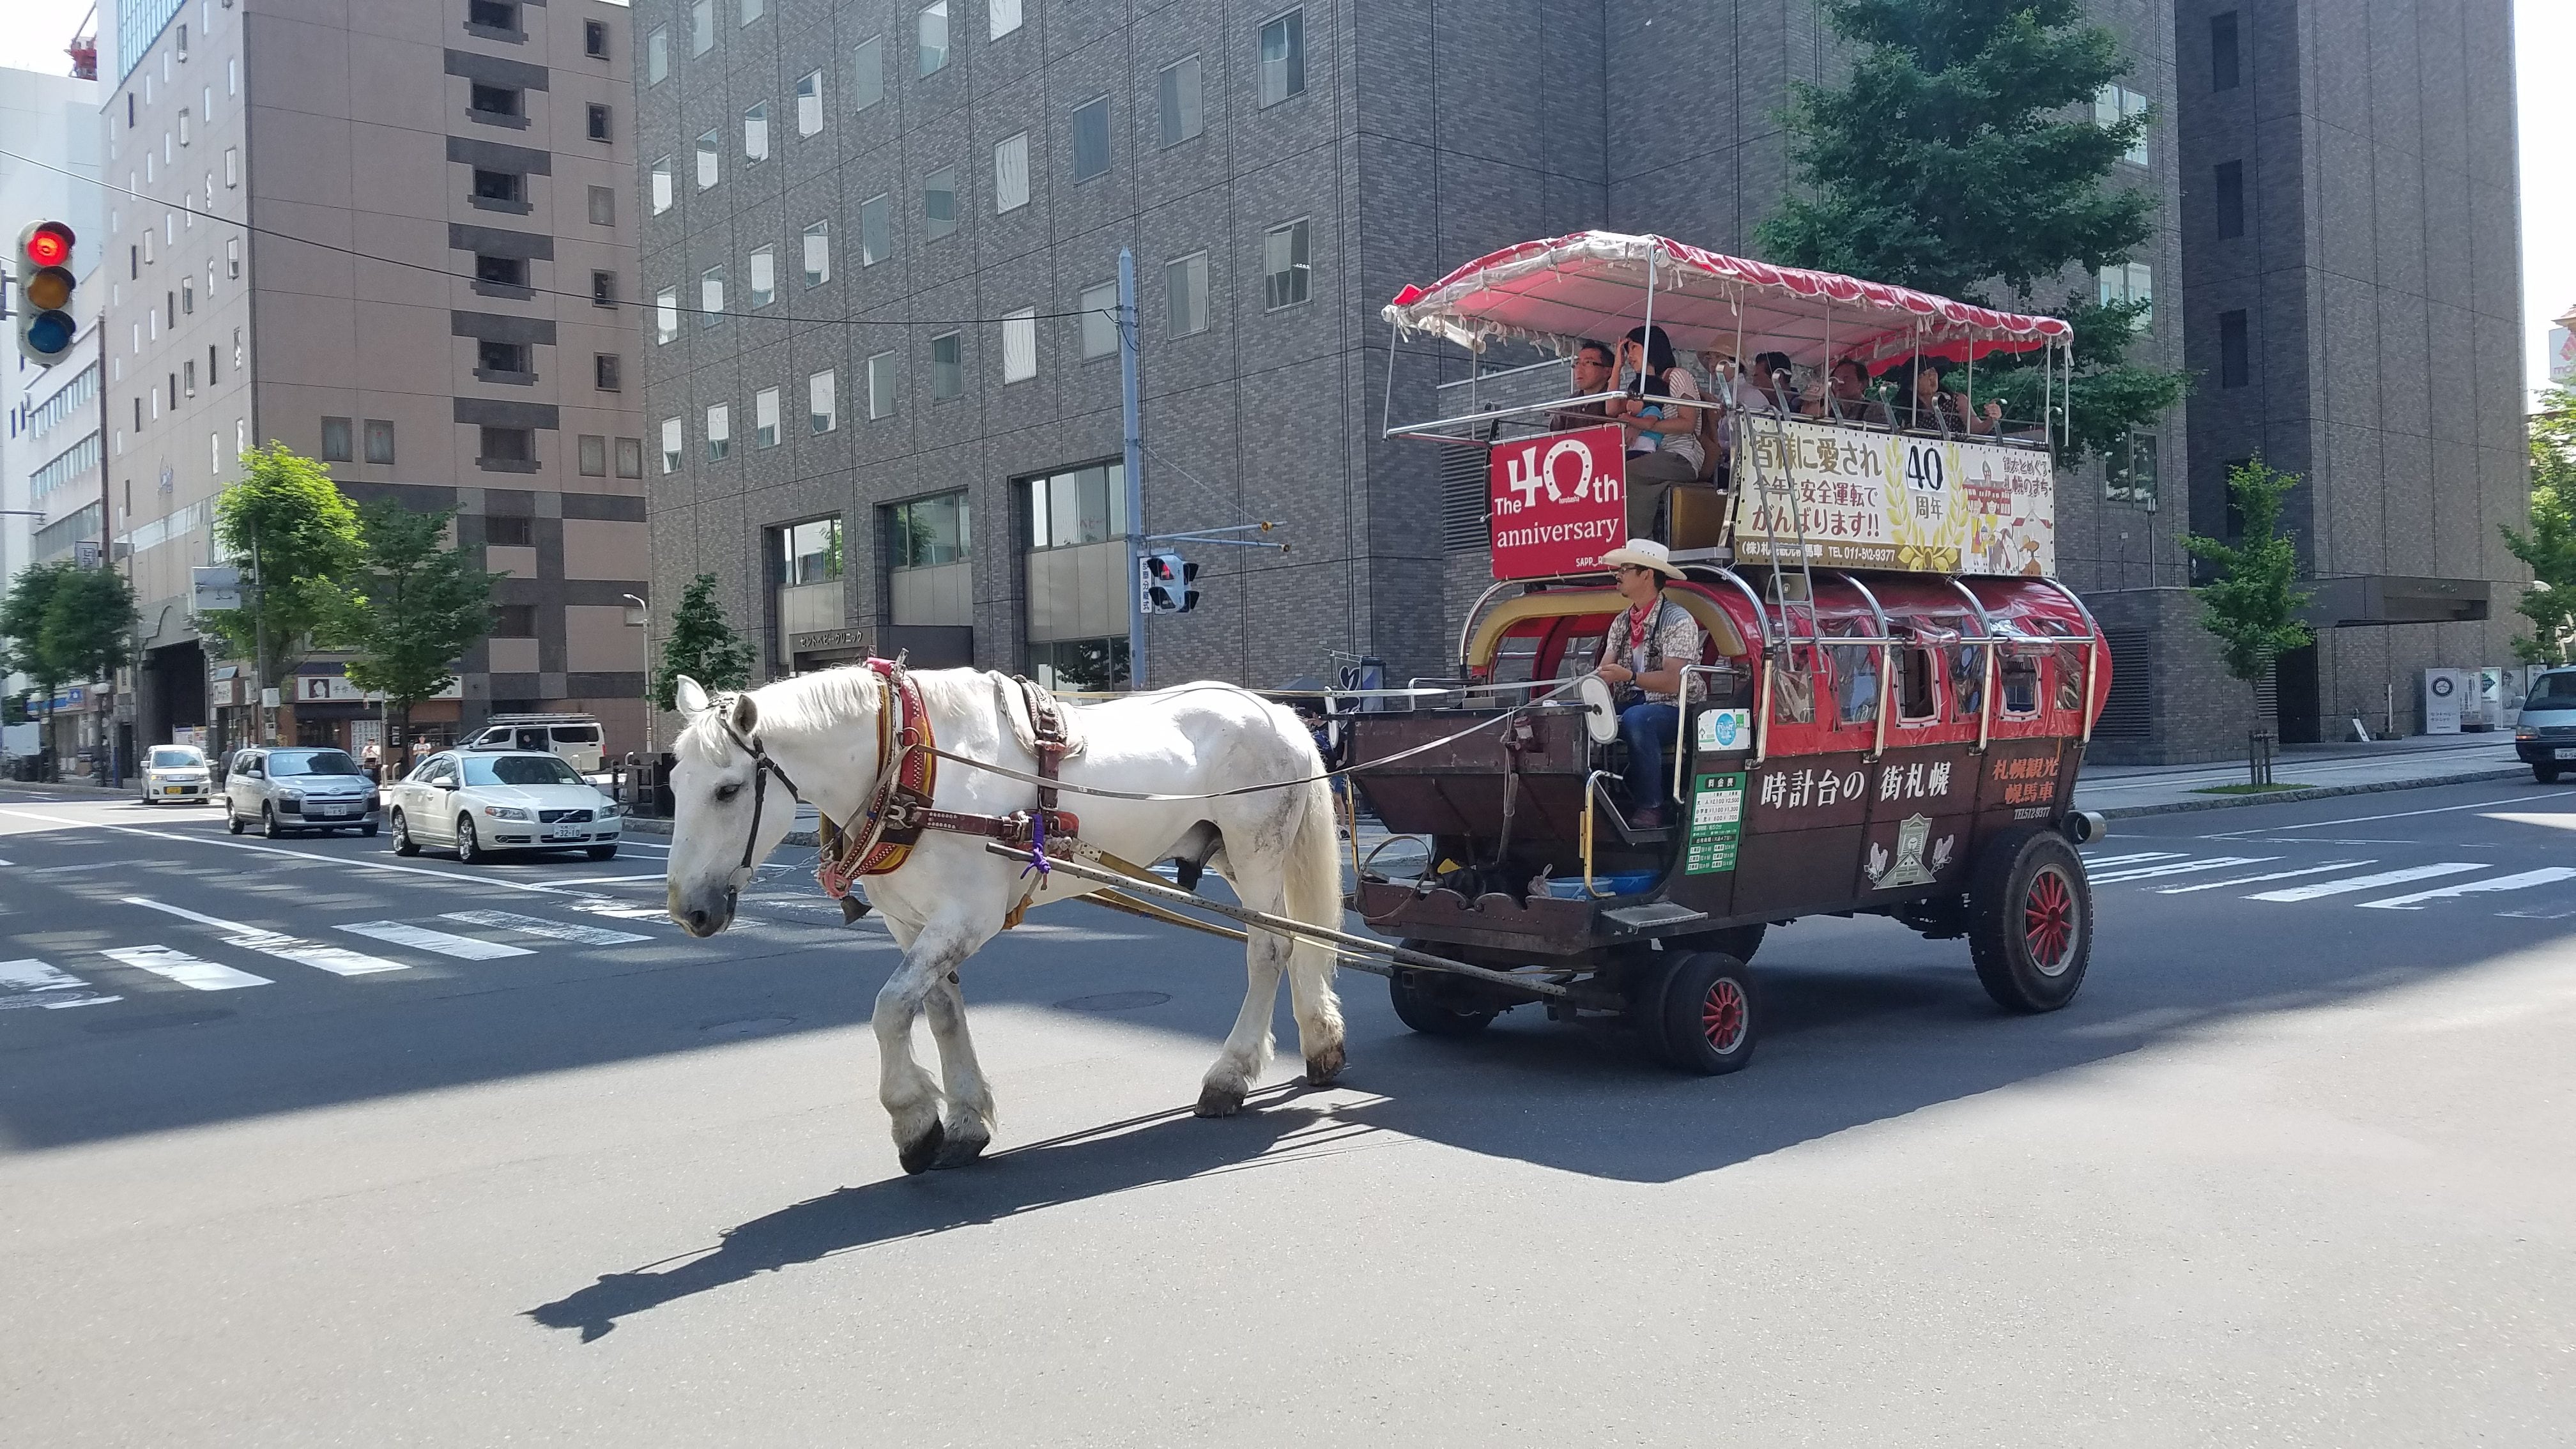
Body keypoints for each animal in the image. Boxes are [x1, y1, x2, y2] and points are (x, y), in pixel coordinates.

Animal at [662, 666, 1348, 1173]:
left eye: (727, 790)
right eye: (672, 784)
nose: (689, 910)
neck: (906, 762)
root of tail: (1278, 712)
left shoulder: (967, 918)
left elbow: (890, 1009)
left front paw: (913, 1121)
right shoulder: (913, 924)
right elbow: (939, 1011)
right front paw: (965, 1120)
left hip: (1257, 846)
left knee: (1267, 950)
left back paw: (1229, 1076)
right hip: (1232, 853)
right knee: (1298, 938)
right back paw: (1321, 1043)